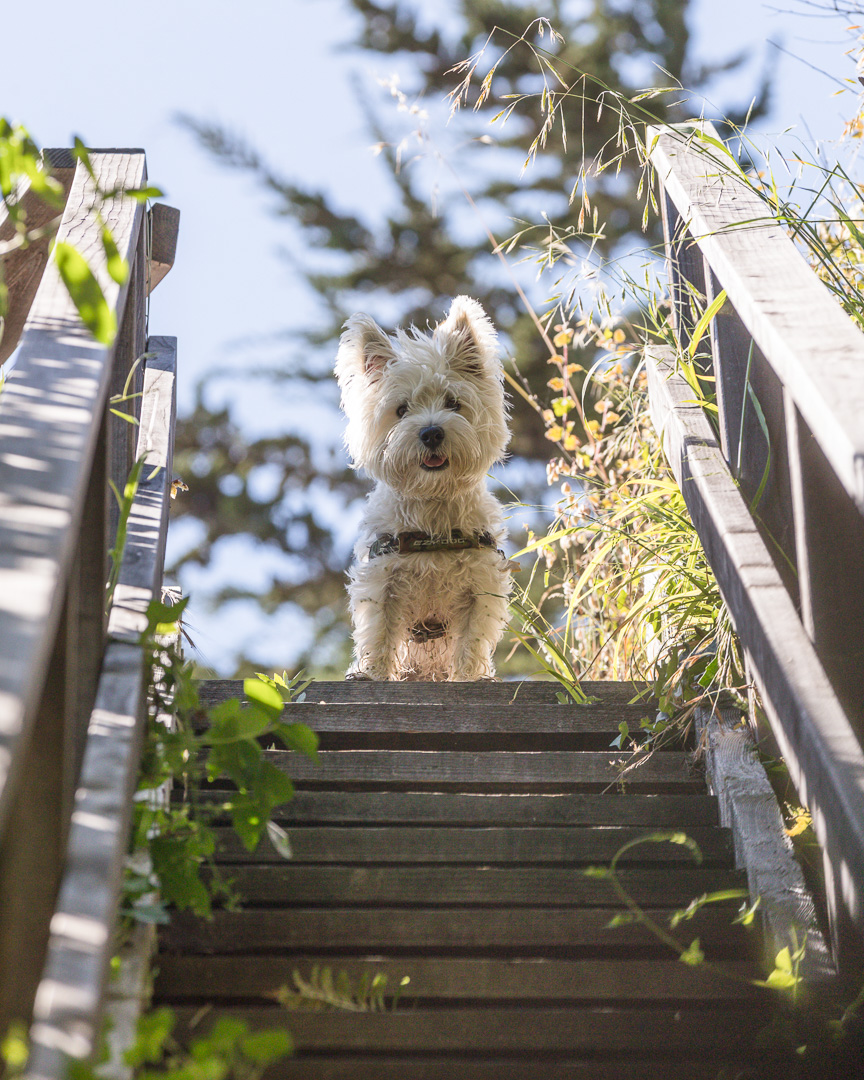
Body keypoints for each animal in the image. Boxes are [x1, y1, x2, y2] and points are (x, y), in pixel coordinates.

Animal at [336, 293, 514, 682]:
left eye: (453, 403)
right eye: (401, 410)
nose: (431, 432)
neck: (433, 507)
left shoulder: (480, 586)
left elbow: (471, 639)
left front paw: (468, 677)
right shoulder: (382, 580)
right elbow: (379, 631)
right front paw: (371, 673)